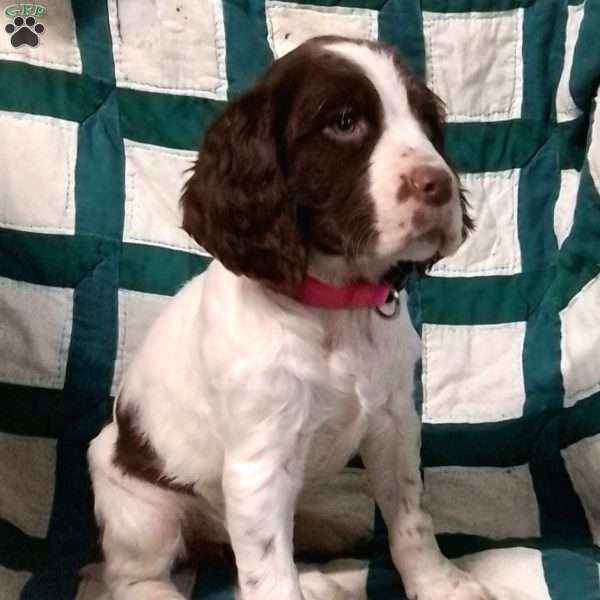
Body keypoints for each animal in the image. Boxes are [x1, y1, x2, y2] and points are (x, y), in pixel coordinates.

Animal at [89, 34, 492, 600]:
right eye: (344, 122)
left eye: (427, 123)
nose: (440, 185)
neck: (334, 306)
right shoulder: (259, 463)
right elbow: (269, 571)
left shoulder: (394, 423)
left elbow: (412, 519)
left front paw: (442, 584)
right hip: (139, 503)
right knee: (132, 572)